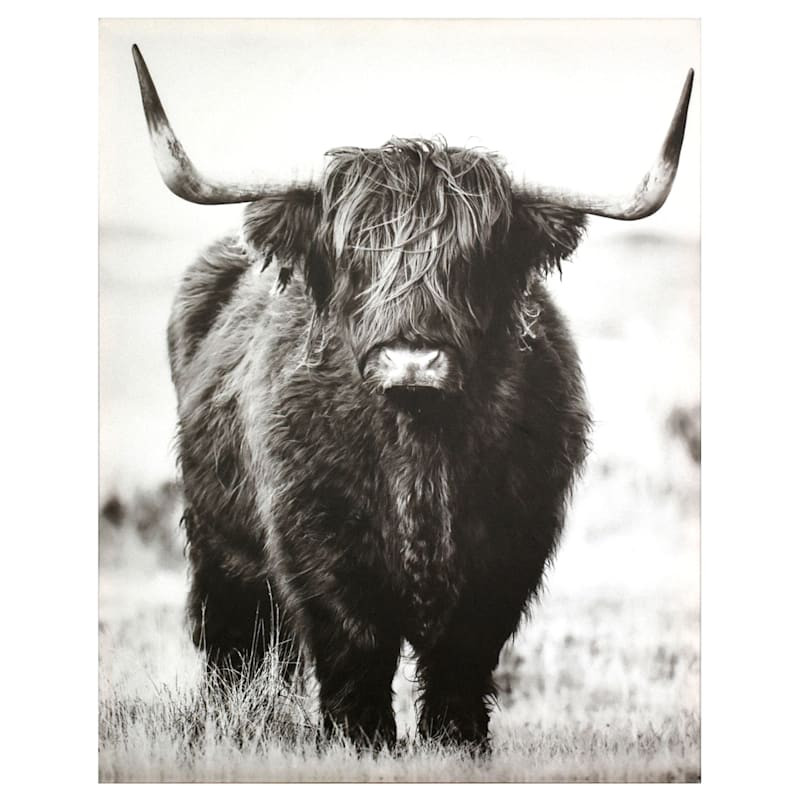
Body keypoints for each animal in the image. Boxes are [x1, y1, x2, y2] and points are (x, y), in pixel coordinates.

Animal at [132, 45, 693, 749]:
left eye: (473, 260)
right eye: (354, 257)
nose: (412, 361)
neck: (419, 445)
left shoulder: (512, 543)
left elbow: (464, 652)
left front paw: (458, 741)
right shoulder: (317, 541)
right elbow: (355, 640)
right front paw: (360, 738)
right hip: (218, 542)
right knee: (232, 636)